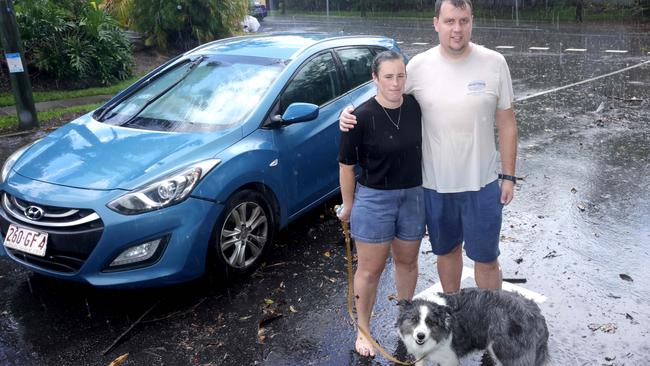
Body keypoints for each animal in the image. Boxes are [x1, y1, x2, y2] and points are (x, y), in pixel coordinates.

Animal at [394, 288, 548, 366]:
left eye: (430, 322)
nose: (420, 336)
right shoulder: (420, 357)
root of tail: (535, 314)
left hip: (507, 352)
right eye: (414, 319)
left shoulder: (450, 359)